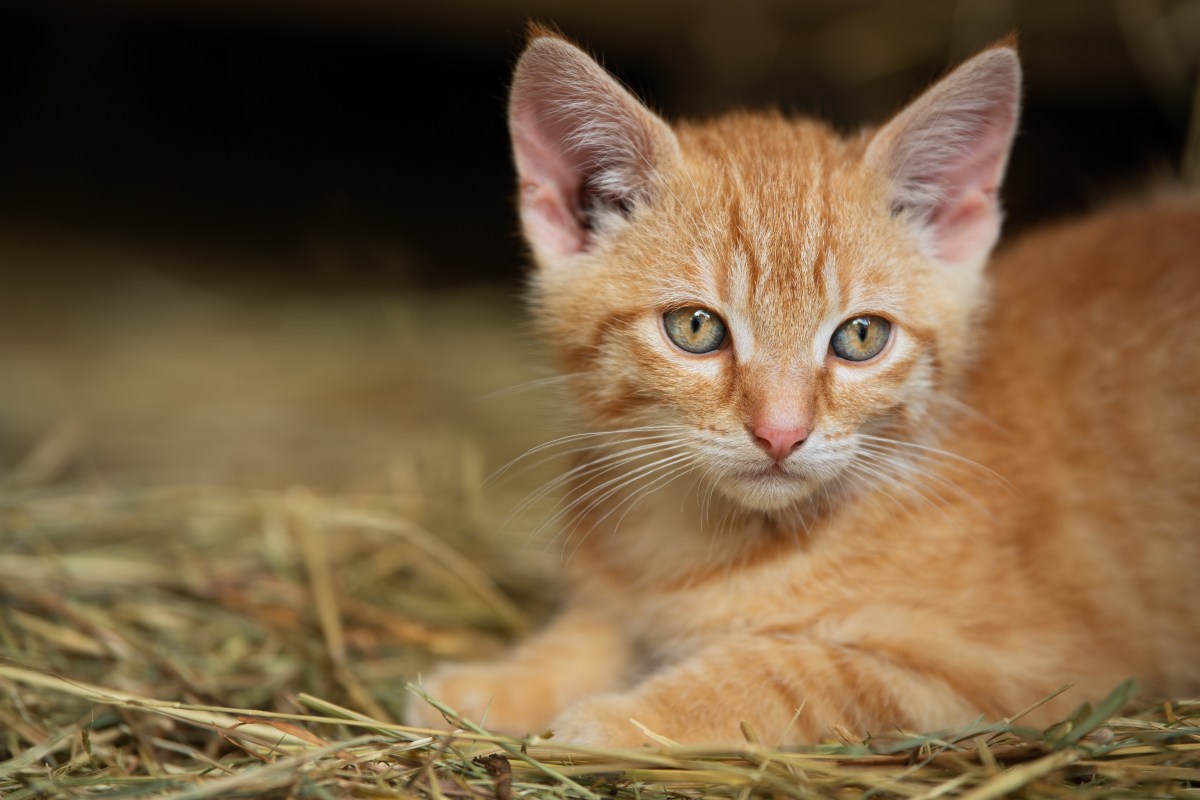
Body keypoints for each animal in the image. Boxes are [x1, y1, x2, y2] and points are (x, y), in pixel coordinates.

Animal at [408, 28, 1195, 748]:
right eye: (695, 327)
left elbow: (790, 675)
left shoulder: (1023, 675)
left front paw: (625, 719)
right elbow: (588, 631)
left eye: (861, 337)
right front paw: (492, 685)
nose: (781, 432)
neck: (702, 544)